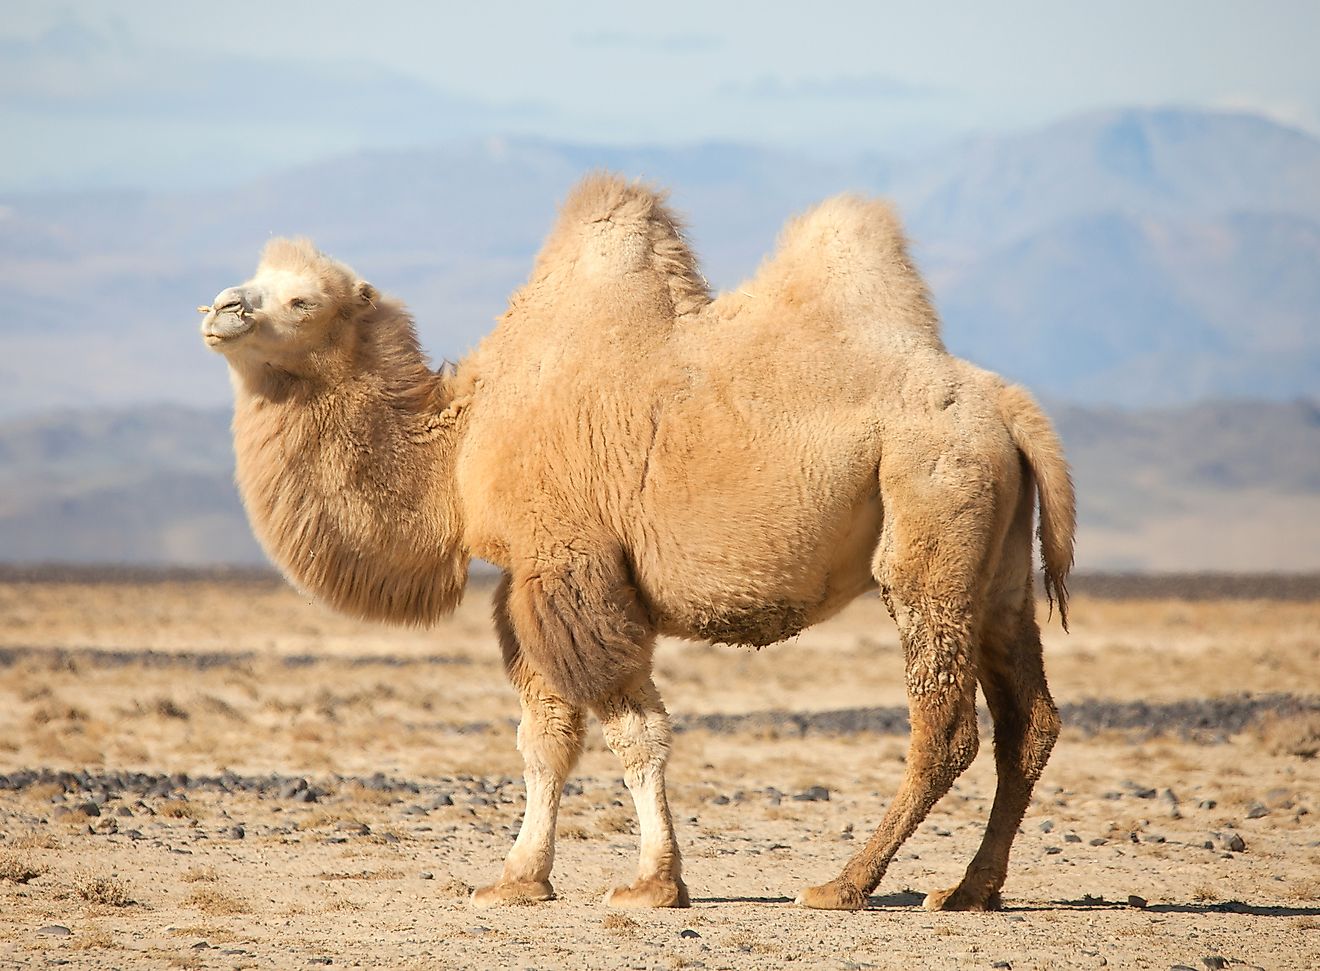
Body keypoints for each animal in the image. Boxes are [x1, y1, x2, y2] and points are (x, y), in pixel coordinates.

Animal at [200, 176, 1077, 918]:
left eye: (302, 297)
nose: (219, 308)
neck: (459, 442)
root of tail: (1009, 405)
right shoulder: (527, 579)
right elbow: (545, 738)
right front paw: (518, 878)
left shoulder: (574, 564)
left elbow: (633, 731)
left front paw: (654, 883)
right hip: (997, 565)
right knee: (1029, 722)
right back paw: (969, 888)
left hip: (930, 517)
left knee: (946, 724)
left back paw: (844, 883)